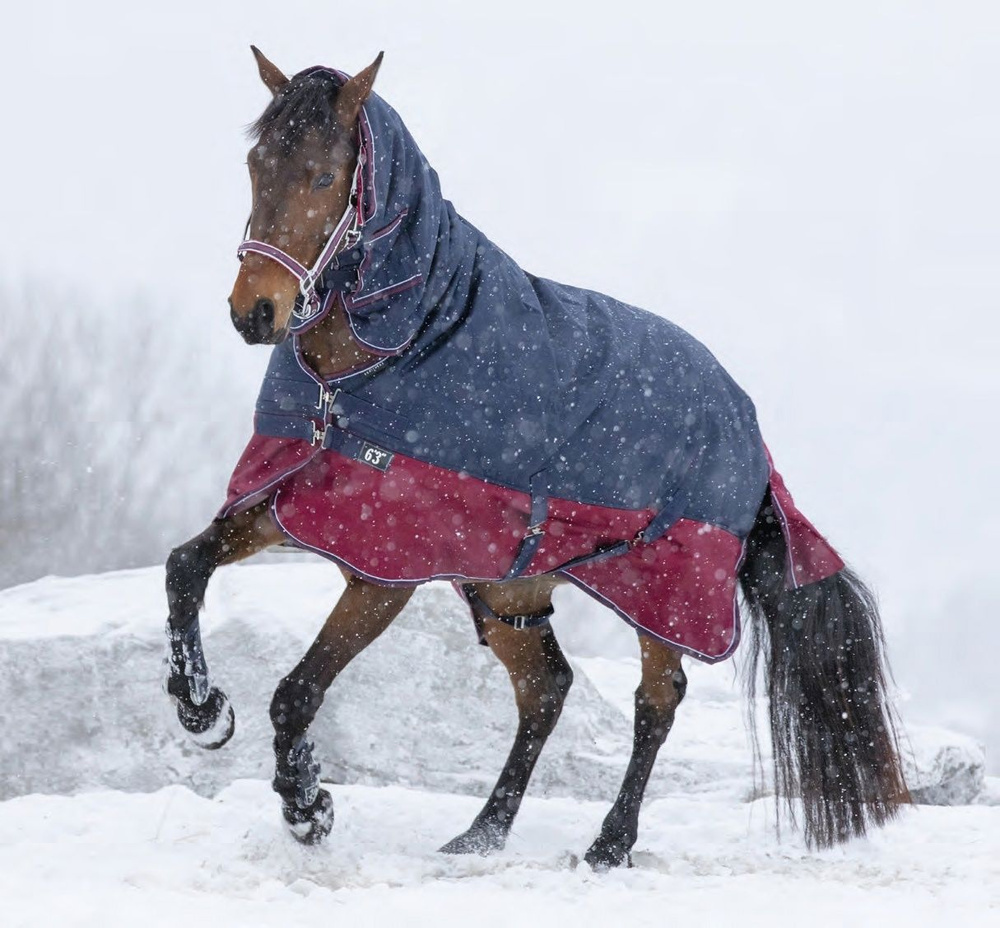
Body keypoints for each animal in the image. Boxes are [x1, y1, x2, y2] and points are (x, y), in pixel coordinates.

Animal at [166, 47, 916, 868]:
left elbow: (296, 691)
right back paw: (481, 833)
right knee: (546, 688)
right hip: (509, 588)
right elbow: (185, 566)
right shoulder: (293, 499)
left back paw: (609, 845)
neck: (381, 357)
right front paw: (202, 709)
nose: (254, 313)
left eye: (326, 177)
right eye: (255, 165)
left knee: (656, 703)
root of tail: (749, 426)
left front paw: (307, 806)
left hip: (663, 597)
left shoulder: (384, 568)